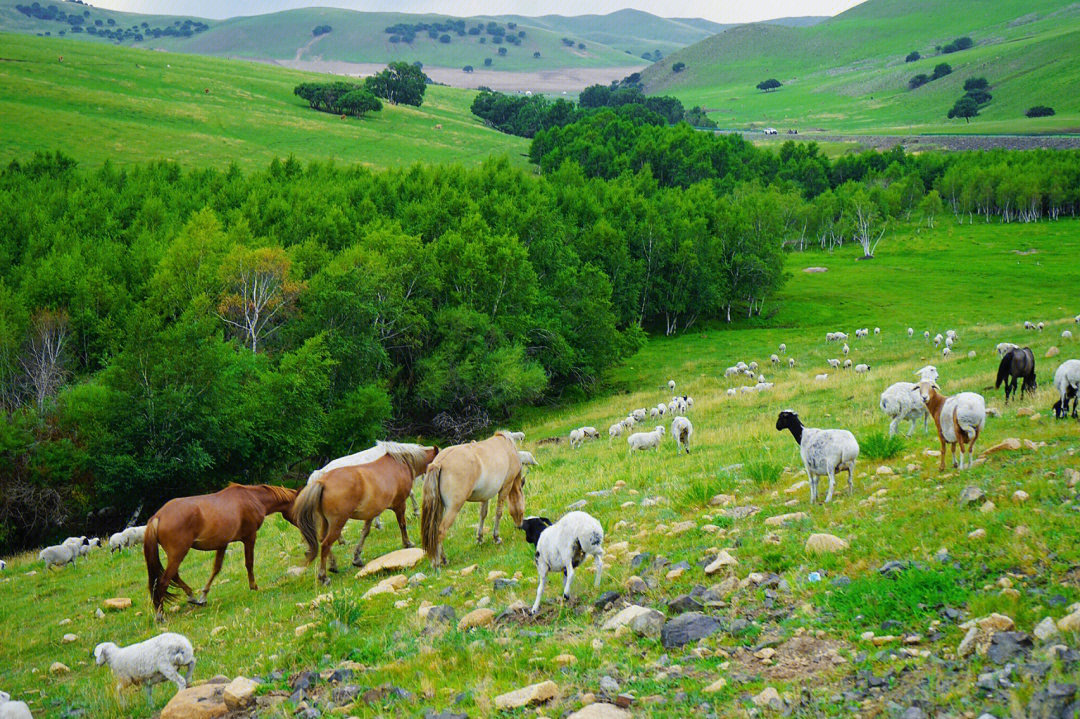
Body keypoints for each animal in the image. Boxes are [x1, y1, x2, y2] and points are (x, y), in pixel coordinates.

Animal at [143, 481, 298, 617]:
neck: (252, 498)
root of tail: (158, 516)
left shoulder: (223, 543)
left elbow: (216, 568)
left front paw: (204, 596)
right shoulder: (250, 537)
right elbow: (249, 563)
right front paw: (254, 586)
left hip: (176, 555)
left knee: (173, 576)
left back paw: (191, 596)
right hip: (178, 553)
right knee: (164, 581)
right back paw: (160, 614)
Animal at [293, 436, 436, 582]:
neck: (400, 462)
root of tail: (321, 481)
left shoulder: (372, 511)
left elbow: (365, 532)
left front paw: (357, 558)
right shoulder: (399, 504)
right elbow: (402, 524)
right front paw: (408, 542)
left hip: (326, 521)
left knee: (322, 540)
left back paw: (333, 564)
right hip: (338, 521)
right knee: (326, 543)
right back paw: (324, 576)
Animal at [419, 431, 524, 565]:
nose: (520, 526)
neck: (507, 445)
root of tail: (438, 463)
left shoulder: (485, 495)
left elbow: (483, 514)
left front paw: (480, 538)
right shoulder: (506, 487)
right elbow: (498, 513)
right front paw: (496, 537)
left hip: (440, 508)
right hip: (453, 508)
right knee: (441, 531)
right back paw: (438, 562)